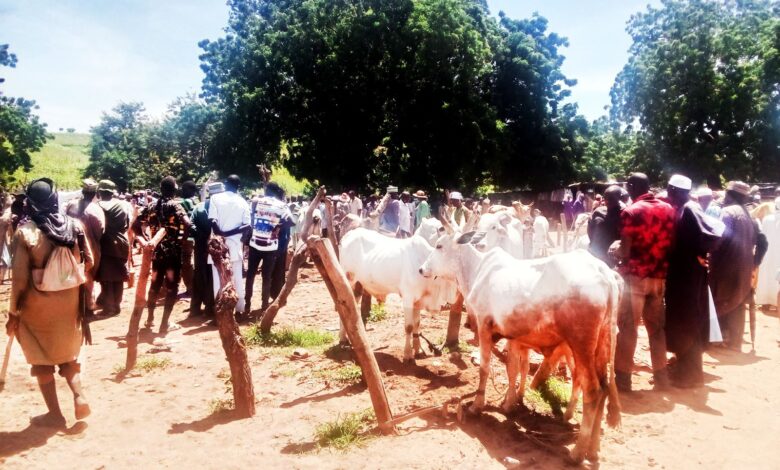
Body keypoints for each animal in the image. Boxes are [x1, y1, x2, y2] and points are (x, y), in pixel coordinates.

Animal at [420, 230, 620, 462]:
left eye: (439, 245)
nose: (421, 269)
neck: (476, 270)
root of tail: (605, 273)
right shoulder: (514, 338)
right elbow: (514, 370)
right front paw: (509, 403)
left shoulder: (484, 327)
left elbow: (485, 368)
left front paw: (477, 406)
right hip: (602, 345)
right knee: (604, 388)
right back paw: (594, 448)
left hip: (580, 345)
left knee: (592, 390)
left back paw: (577, 452)